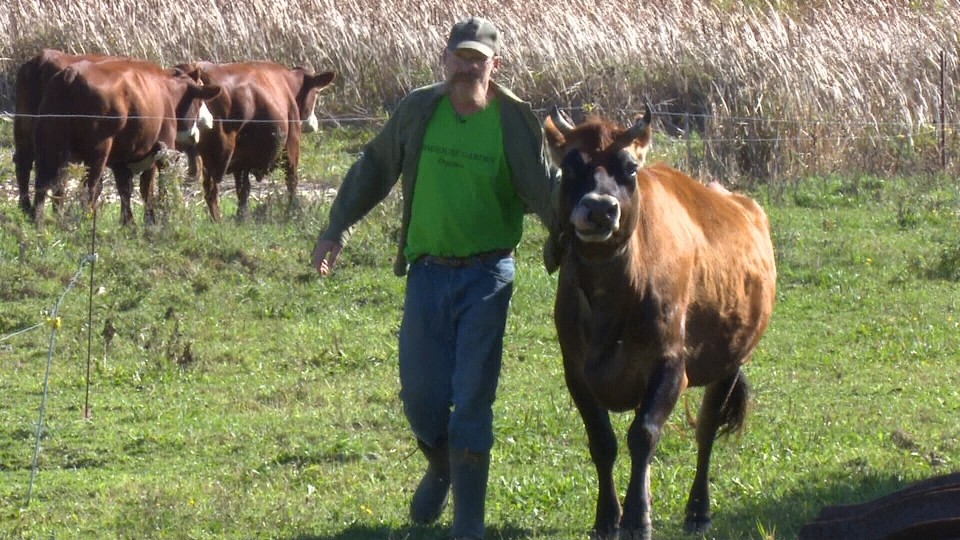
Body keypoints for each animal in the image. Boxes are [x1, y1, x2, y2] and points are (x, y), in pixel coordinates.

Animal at [31, 59, 221, 226]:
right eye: (199, 102)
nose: (209, 120)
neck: (167, 90)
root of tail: (70, 74)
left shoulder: (121, 159)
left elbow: (126, 190)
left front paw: (129, 223)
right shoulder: (161, 148)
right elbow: (151, 187)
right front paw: (151, 221)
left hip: (48, 147)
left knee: (44, 185)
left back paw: (41, 221)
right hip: (98, 152)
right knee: (89, 188)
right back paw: (85, 221)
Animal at [186, 61, 336, 221]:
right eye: (317, 92)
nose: (313, 123)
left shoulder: (242, 159)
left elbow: (243, 189)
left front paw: (242, 217)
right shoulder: (292, 144)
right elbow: (292, 180)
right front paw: (293, 212)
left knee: (211, 190)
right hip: (216, 156)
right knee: (212, 190)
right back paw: (218, 221)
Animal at [543, 105, 776, 540]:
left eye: (630, 168)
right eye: (570, 165)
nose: (599, 208)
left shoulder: (670, 365)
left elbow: (644, 434)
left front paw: (638, 518)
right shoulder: (575, 371)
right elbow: (602, 441)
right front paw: (607, 518)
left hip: (730, 361)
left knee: (706, 430)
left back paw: (698, 510)